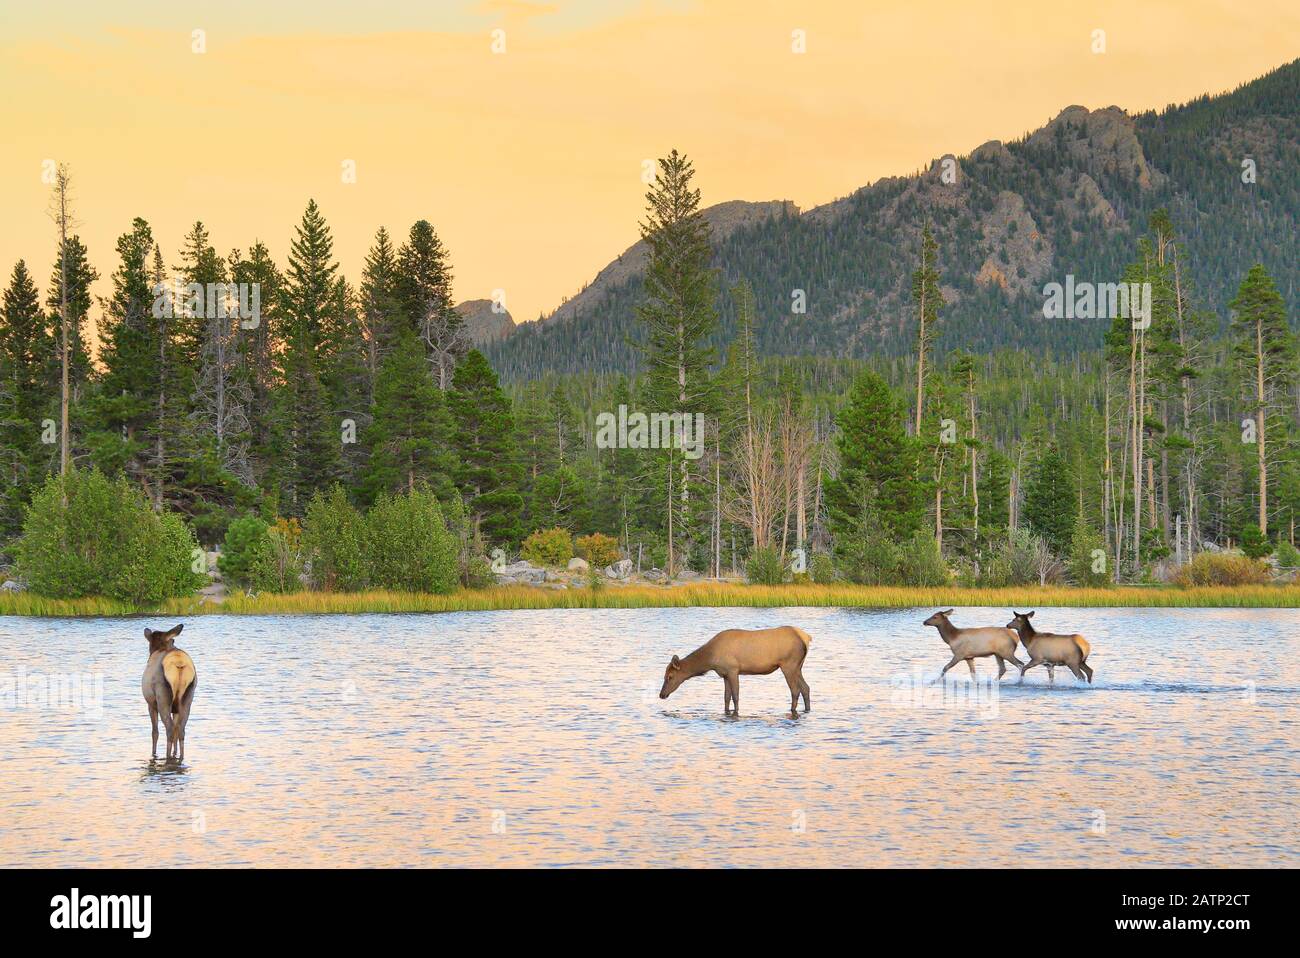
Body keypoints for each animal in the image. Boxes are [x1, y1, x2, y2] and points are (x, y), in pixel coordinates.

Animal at [141, 621, 196, 764]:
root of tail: (179, 663)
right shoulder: (175, 708)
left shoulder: (151, 704)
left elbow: (154, 732)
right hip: (187, 698)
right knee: (180, 729)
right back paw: (180, 757)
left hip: (162, 699)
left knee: (169, 729)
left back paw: (167, 758)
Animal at [660, 623, 811, 712]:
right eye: (664, 676)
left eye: (670, 677)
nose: (661, 694)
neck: (711, 659)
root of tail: (806, 638)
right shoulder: (724, 674)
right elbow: (726, 697)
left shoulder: (733, 670)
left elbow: (735, 696)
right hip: (798, 667)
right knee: (806, 688)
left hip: (788, 665)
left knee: (795, 690)